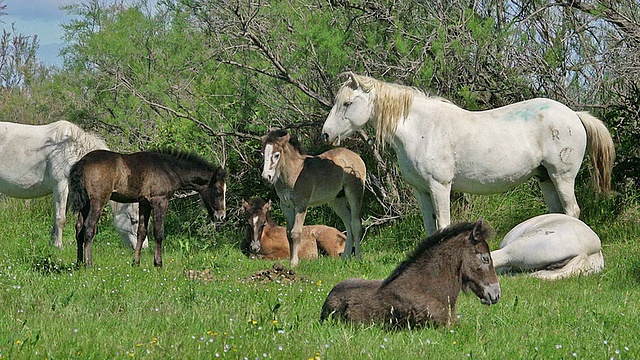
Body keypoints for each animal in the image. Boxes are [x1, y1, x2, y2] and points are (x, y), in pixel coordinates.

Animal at [0, 119, 146, 249]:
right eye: (134, 220)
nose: (143, 247)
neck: (73, 150)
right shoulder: (60, 185)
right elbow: (60, 219)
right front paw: (58, 246)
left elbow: (58, 219)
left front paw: (52, 244)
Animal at [69, 149, 225, 268]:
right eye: (218, 191)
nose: (221, 216)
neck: (168, 169)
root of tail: (83, 161)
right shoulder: (160, 201)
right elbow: (159, 232)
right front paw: (158, 263)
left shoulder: (144, 204)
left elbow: (141, 232)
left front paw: (135, 262)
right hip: (98, 201)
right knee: (89, 227)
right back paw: (89, 264)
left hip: (85, 204)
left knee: (79, 228)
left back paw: (79, 263)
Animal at [262, 130, 364, 268]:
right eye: (263, 153)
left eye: (277, 155)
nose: (266, 177)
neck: (294, 171)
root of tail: (356, 156)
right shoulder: (286, 206)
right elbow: (288, 233)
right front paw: (290, 261)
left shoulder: (301, 204)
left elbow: (295, 233)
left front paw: (294, 263)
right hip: (337, 200)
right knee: (348, 224)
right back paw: (345, 258)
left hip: (354, 193)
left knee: (355, 224)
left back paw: (358, 258)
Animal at [322, 73, 616, 236]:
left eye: (347, 103)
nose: (326, 134)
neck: (421, 128)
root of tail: (574, 115)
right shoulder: (422, 190)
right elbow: (429, 226)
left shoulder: (439, 187)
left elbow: (443, 224)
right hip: (545, 178)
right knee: (557, 212)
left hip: (562, 176)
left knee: (571, 210)